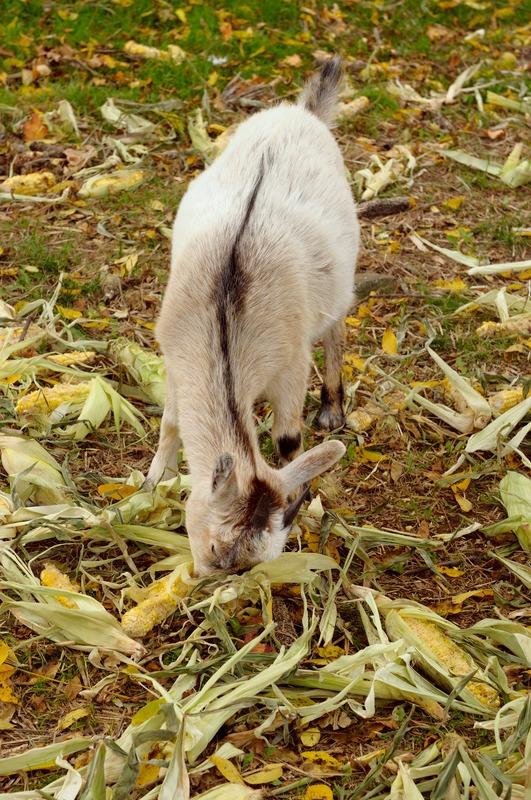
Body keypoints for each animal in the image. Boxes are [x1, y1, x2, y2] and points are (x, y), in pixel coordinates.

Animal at [146, 58, 359, 576]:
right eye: (216, 550)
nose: (214, 581)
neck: (226, 320)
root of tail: (303, 113)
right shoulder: (174, 357)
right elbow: (171, 422)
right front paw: (152, 482)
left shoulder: (291, 365)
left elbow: (287, 440)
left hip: (340, 276)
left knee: (336, 326)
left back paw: (331, 409)